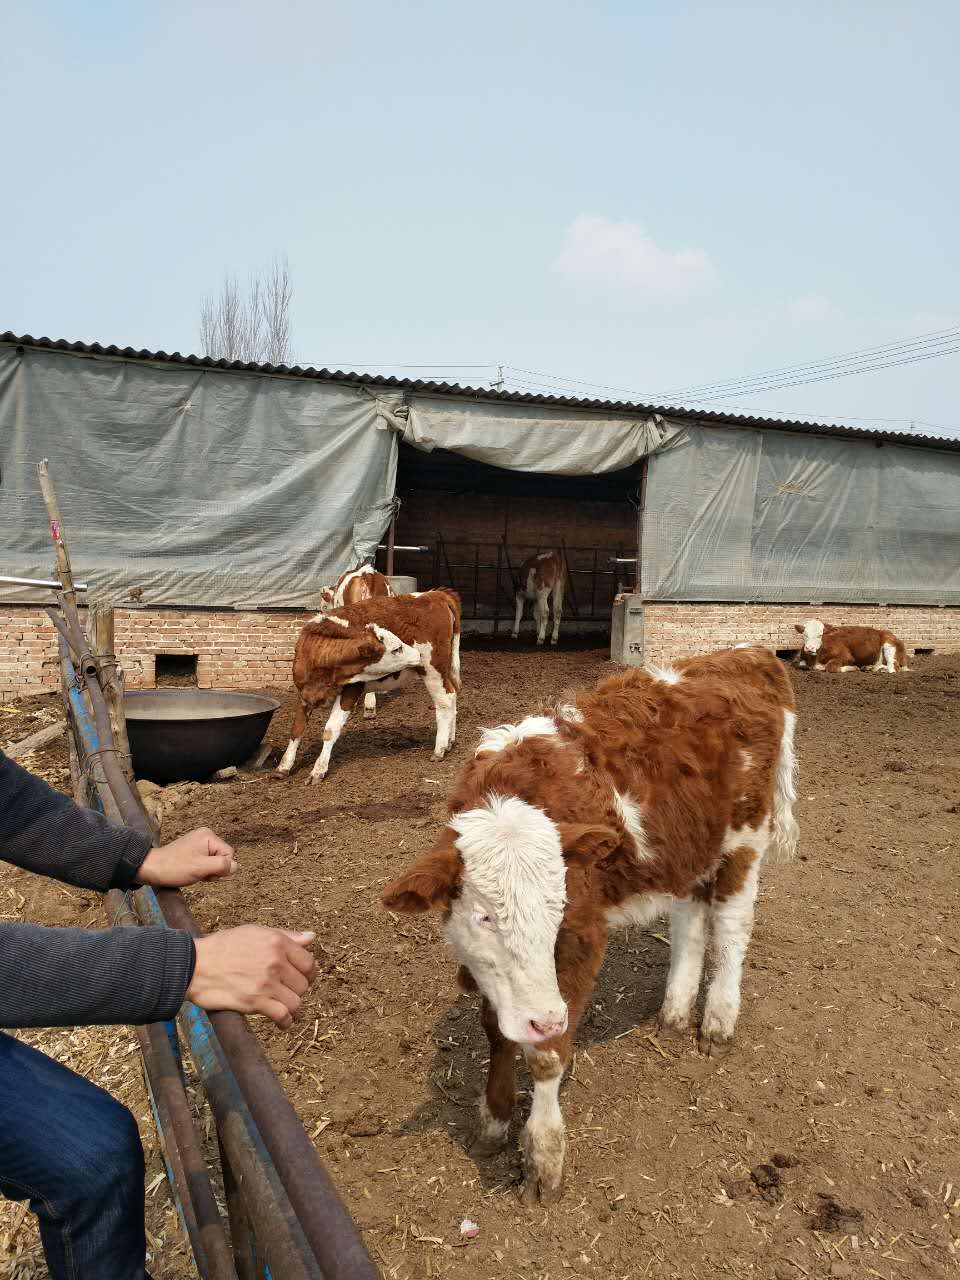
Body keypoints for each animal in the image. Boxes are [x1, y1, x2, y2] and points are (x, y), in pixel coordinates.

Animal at [384, 645, 798, 1203]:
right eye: (484, 916)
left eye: (561, 905)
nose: (544, 1018)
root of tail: (747, 654)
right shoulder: (497, 977)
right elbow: (496, 1030)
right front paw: (493, 1119)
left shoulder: (581, 940)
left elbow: (546, 1057)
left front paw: (544, 1156)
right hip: (689, 848)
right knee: (689, 921)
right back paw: (674, 1010)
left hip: (744, 839)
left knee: (732, 927)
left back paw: (717, 1020)